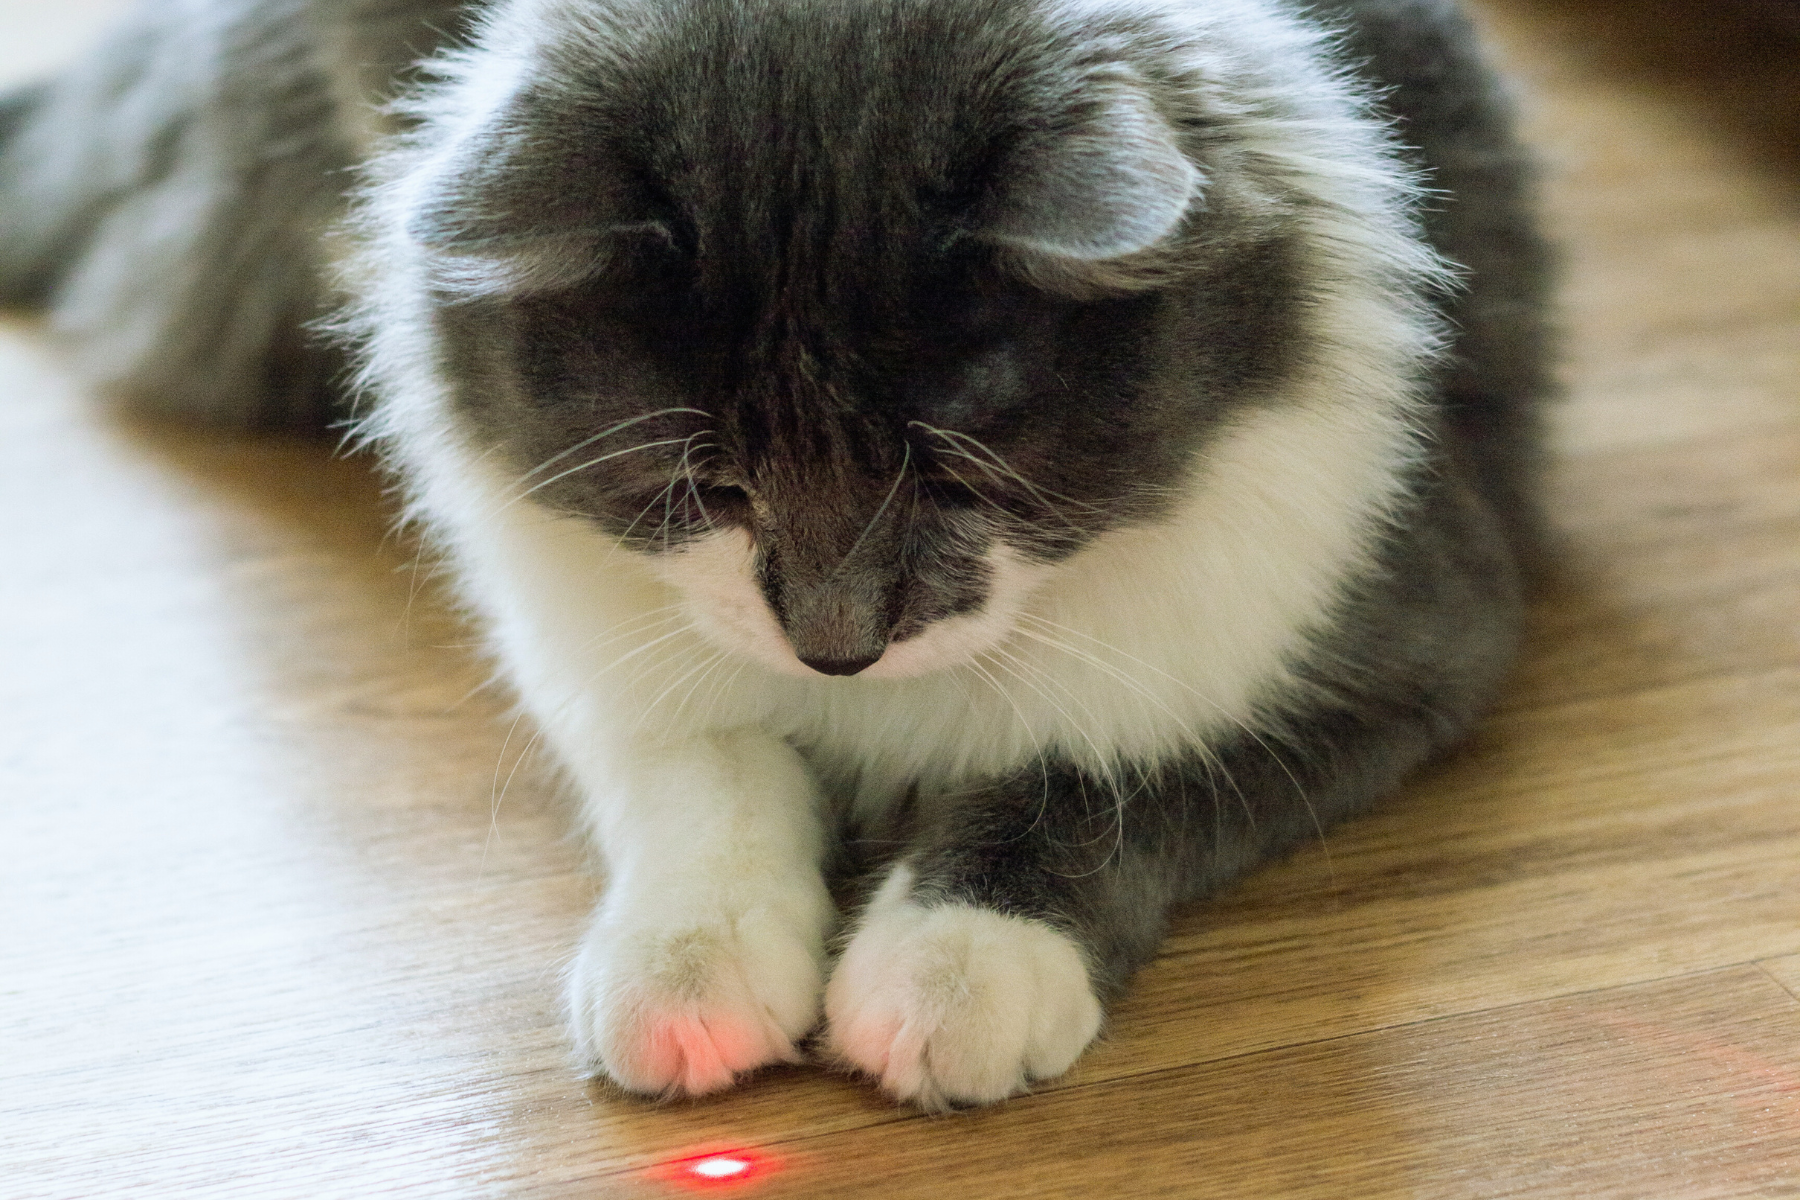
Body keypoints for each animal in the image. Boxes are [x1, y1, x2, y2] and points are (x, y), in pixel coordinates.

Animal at [0, 0, 1548, 1108]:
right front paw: (689, 984)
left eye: (953, 476)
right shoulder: (599, 646)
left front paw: (947, 976)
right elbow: (708, 774)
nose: (835, 647)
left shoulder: (1399, 631)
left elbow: (1098, 779)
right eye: (707, 486)